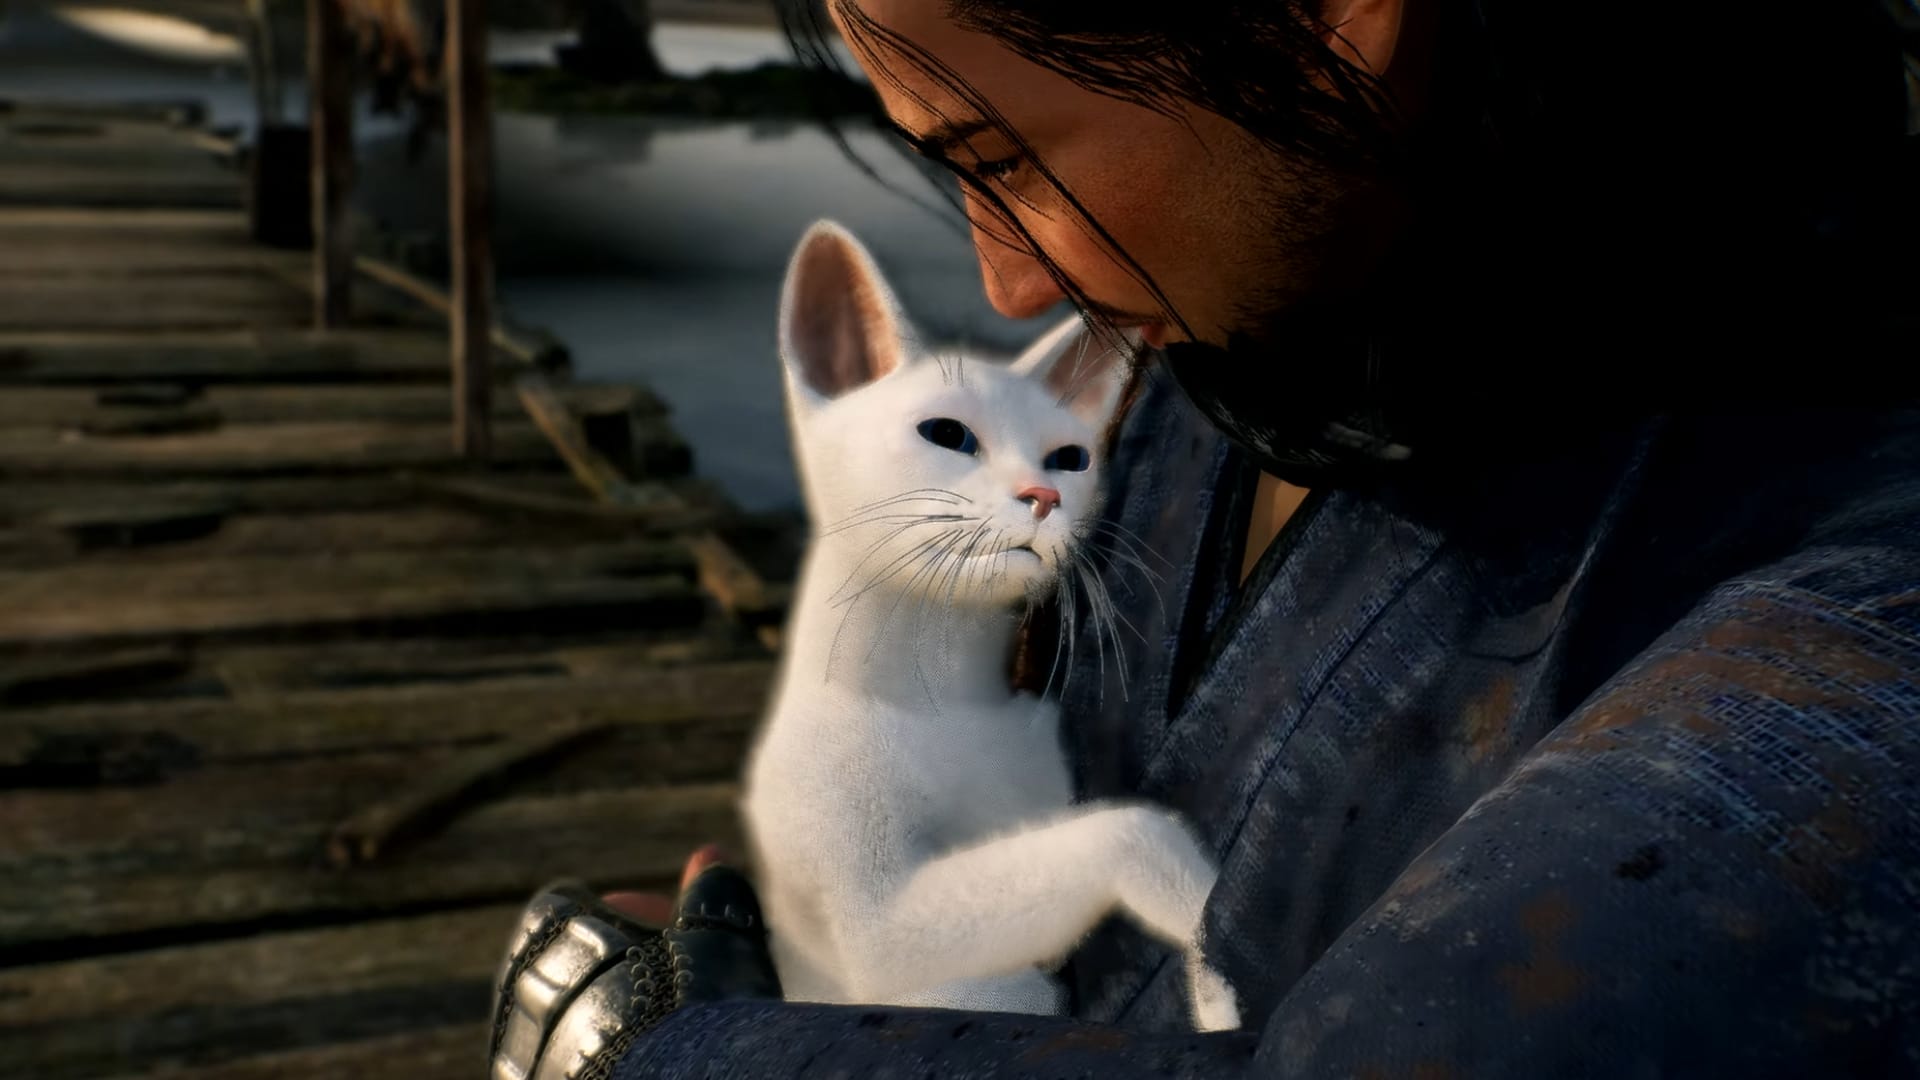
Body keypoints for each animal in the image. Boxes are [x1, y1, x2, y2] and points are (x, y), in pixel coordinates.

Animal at [733, 216, 1244, 1022]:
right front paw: (1210, 963)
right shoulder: (870, 919)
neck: (939, 700)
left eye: (1070, 458)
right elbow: (1128, 831)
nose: (1044, 495)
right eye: (948, 434)